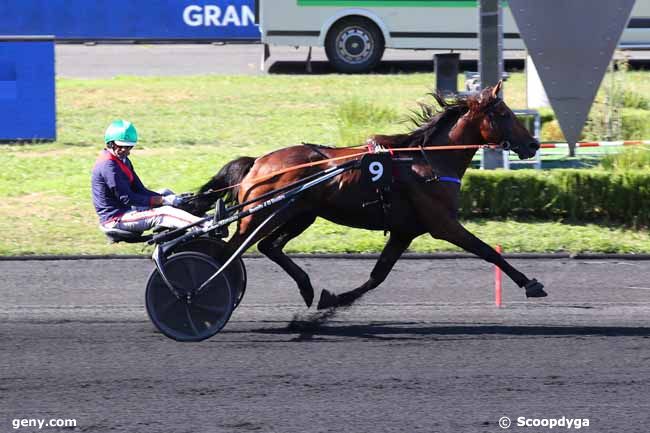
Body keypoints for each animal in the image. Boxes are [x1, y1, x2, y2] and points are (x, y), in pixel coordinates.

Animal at [185, 81, 544, 308]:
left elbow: (377, 276)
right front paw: (531, 283)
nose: (533, 144)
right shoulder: (442, 224)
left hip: (300, 213)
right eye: (504, 114)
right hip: (262, 214)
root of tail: (258, 163)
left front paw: (332, 299)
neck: (426, 160)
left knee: (269, 246)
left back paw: (306, 287)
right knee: (228, 252)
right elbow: (487, 251)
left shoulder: (404, 231)